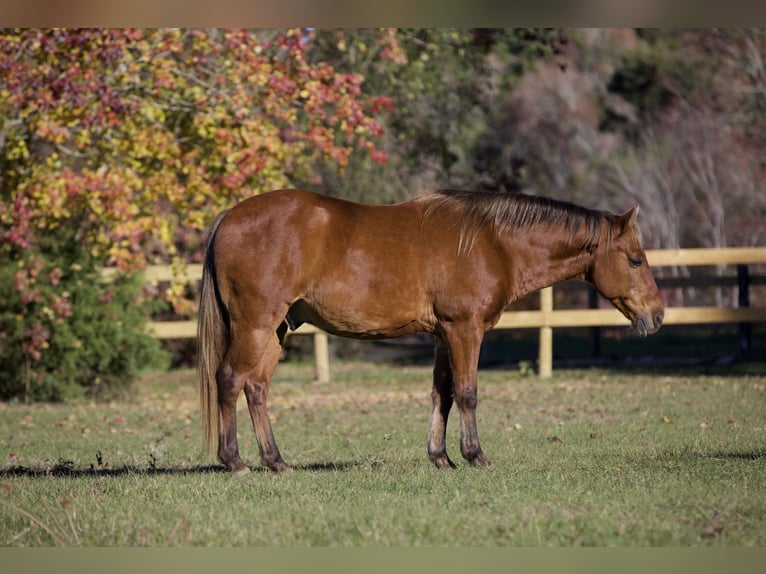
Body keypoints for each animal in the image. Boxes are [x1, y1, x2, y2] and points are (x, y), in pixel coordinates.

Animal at [200, 190, 664, 476]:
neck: (492, 242)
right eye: (635, 259)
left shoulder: (444, 335)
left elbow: (442, 393)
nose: (657, 315)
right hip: (256, 325)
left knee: (256, 388)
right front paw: (475, 456)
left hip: (275, 330)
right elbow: (467, 392)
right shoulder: (465, 329)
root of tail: (228, 218)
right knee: (230, 379)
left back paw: (276, 461)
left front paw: (441, 458)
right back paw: (235, 461)